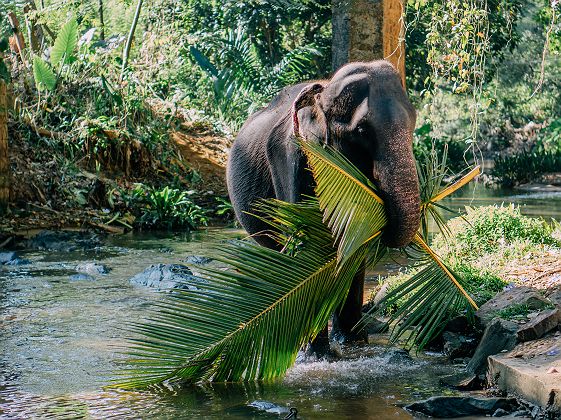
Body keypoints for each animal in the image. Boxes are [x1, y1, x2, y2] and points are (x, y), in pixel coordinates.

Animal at [225, 59, 418, 348]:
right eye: (362, 131)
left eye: (414, 122)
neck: (323, 91)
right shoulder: (290, 156)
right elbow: (306, 244)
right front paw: (316, 352)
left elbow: (352, 243)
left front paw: (353, 343)